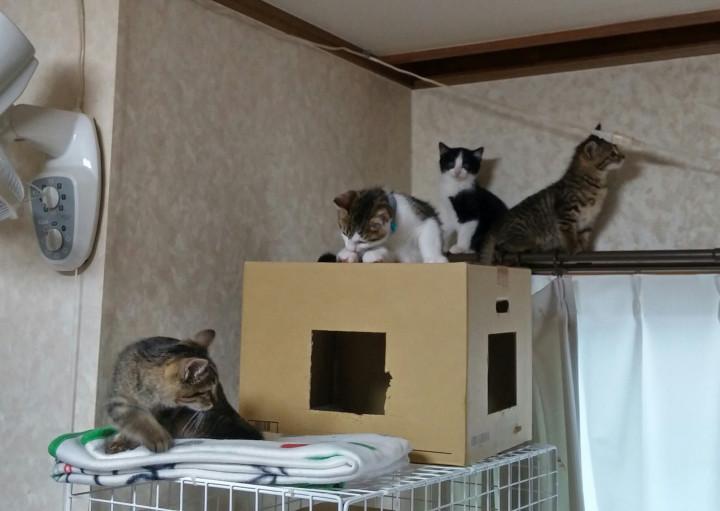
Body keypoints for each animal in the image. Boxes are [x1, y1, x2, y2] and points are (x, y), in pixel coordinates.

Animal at [105, 329, 262, 454]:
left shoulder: (166, 412)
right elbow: (136, 420)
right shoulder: (119, 402)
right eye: (205, 392)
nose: (214, 402)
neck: (151, 397)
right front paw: (153, 438)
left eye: (215, 388)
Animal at [482, 125, 625, 264]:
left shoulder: (589, 220)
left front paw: (585, 251)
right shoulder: (566, 214)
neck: (597, 184)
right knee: (500, 246)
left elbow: (584, 237)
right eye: (613, 154)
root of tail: (498, 225)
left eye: (617, 150)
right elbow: (569, 235)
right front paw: (573, 249)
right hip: (520, 233)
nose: (623, 156)